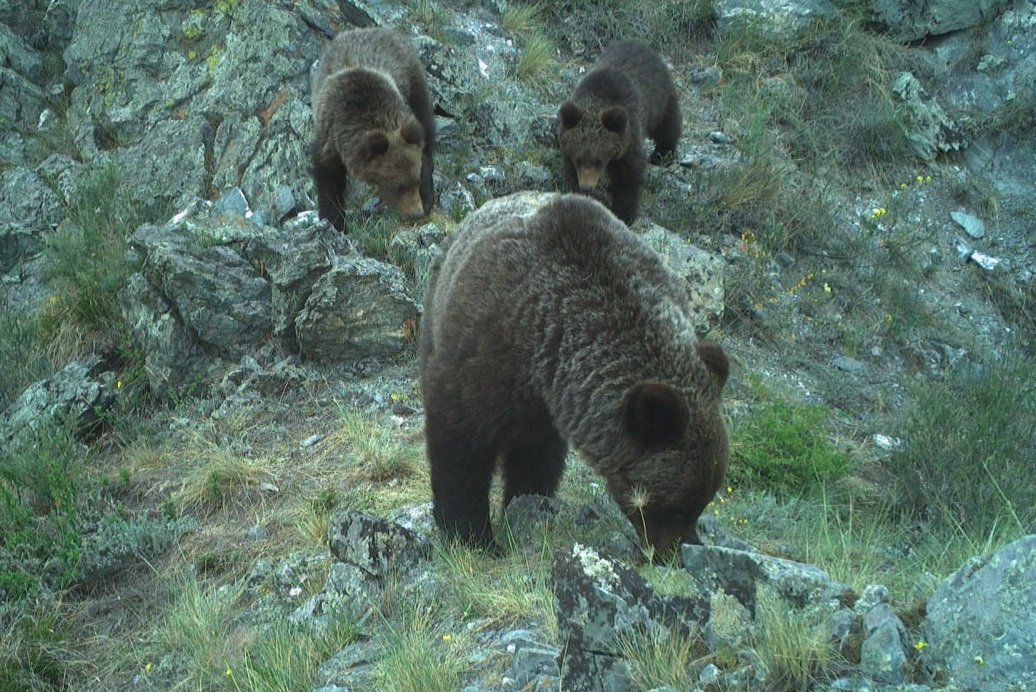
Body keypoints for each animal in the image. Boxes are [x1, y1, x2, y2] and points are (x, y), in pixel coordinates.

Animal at [308, 27, 435, 232]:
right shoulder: (329, 137)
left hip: (412, 78)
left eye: (415, 180)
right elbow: (328, 181)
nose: (416, 213)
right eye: (398, 186)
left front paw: (427, 197)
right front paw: (335, 222)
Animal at [418, 191, 729, 559]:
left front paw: (527, 506)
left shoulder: (547, 403)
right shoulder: (486, 351)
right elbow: (461, 443)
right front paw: (473, 535)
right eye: (676, 508)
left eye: (703, 501)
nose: (677, 555)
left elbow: (538, 458)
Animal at [555, 41, 683, 224]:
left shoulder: (630, 136)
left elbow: (629, 176)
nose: (586, 186)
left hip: (660, 98)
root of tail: (640, 45)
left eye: (598, 160)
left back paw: (662, 154)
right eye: (579, 159)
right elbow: (571, 171)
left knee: (667, 125)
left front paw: (623, 213)